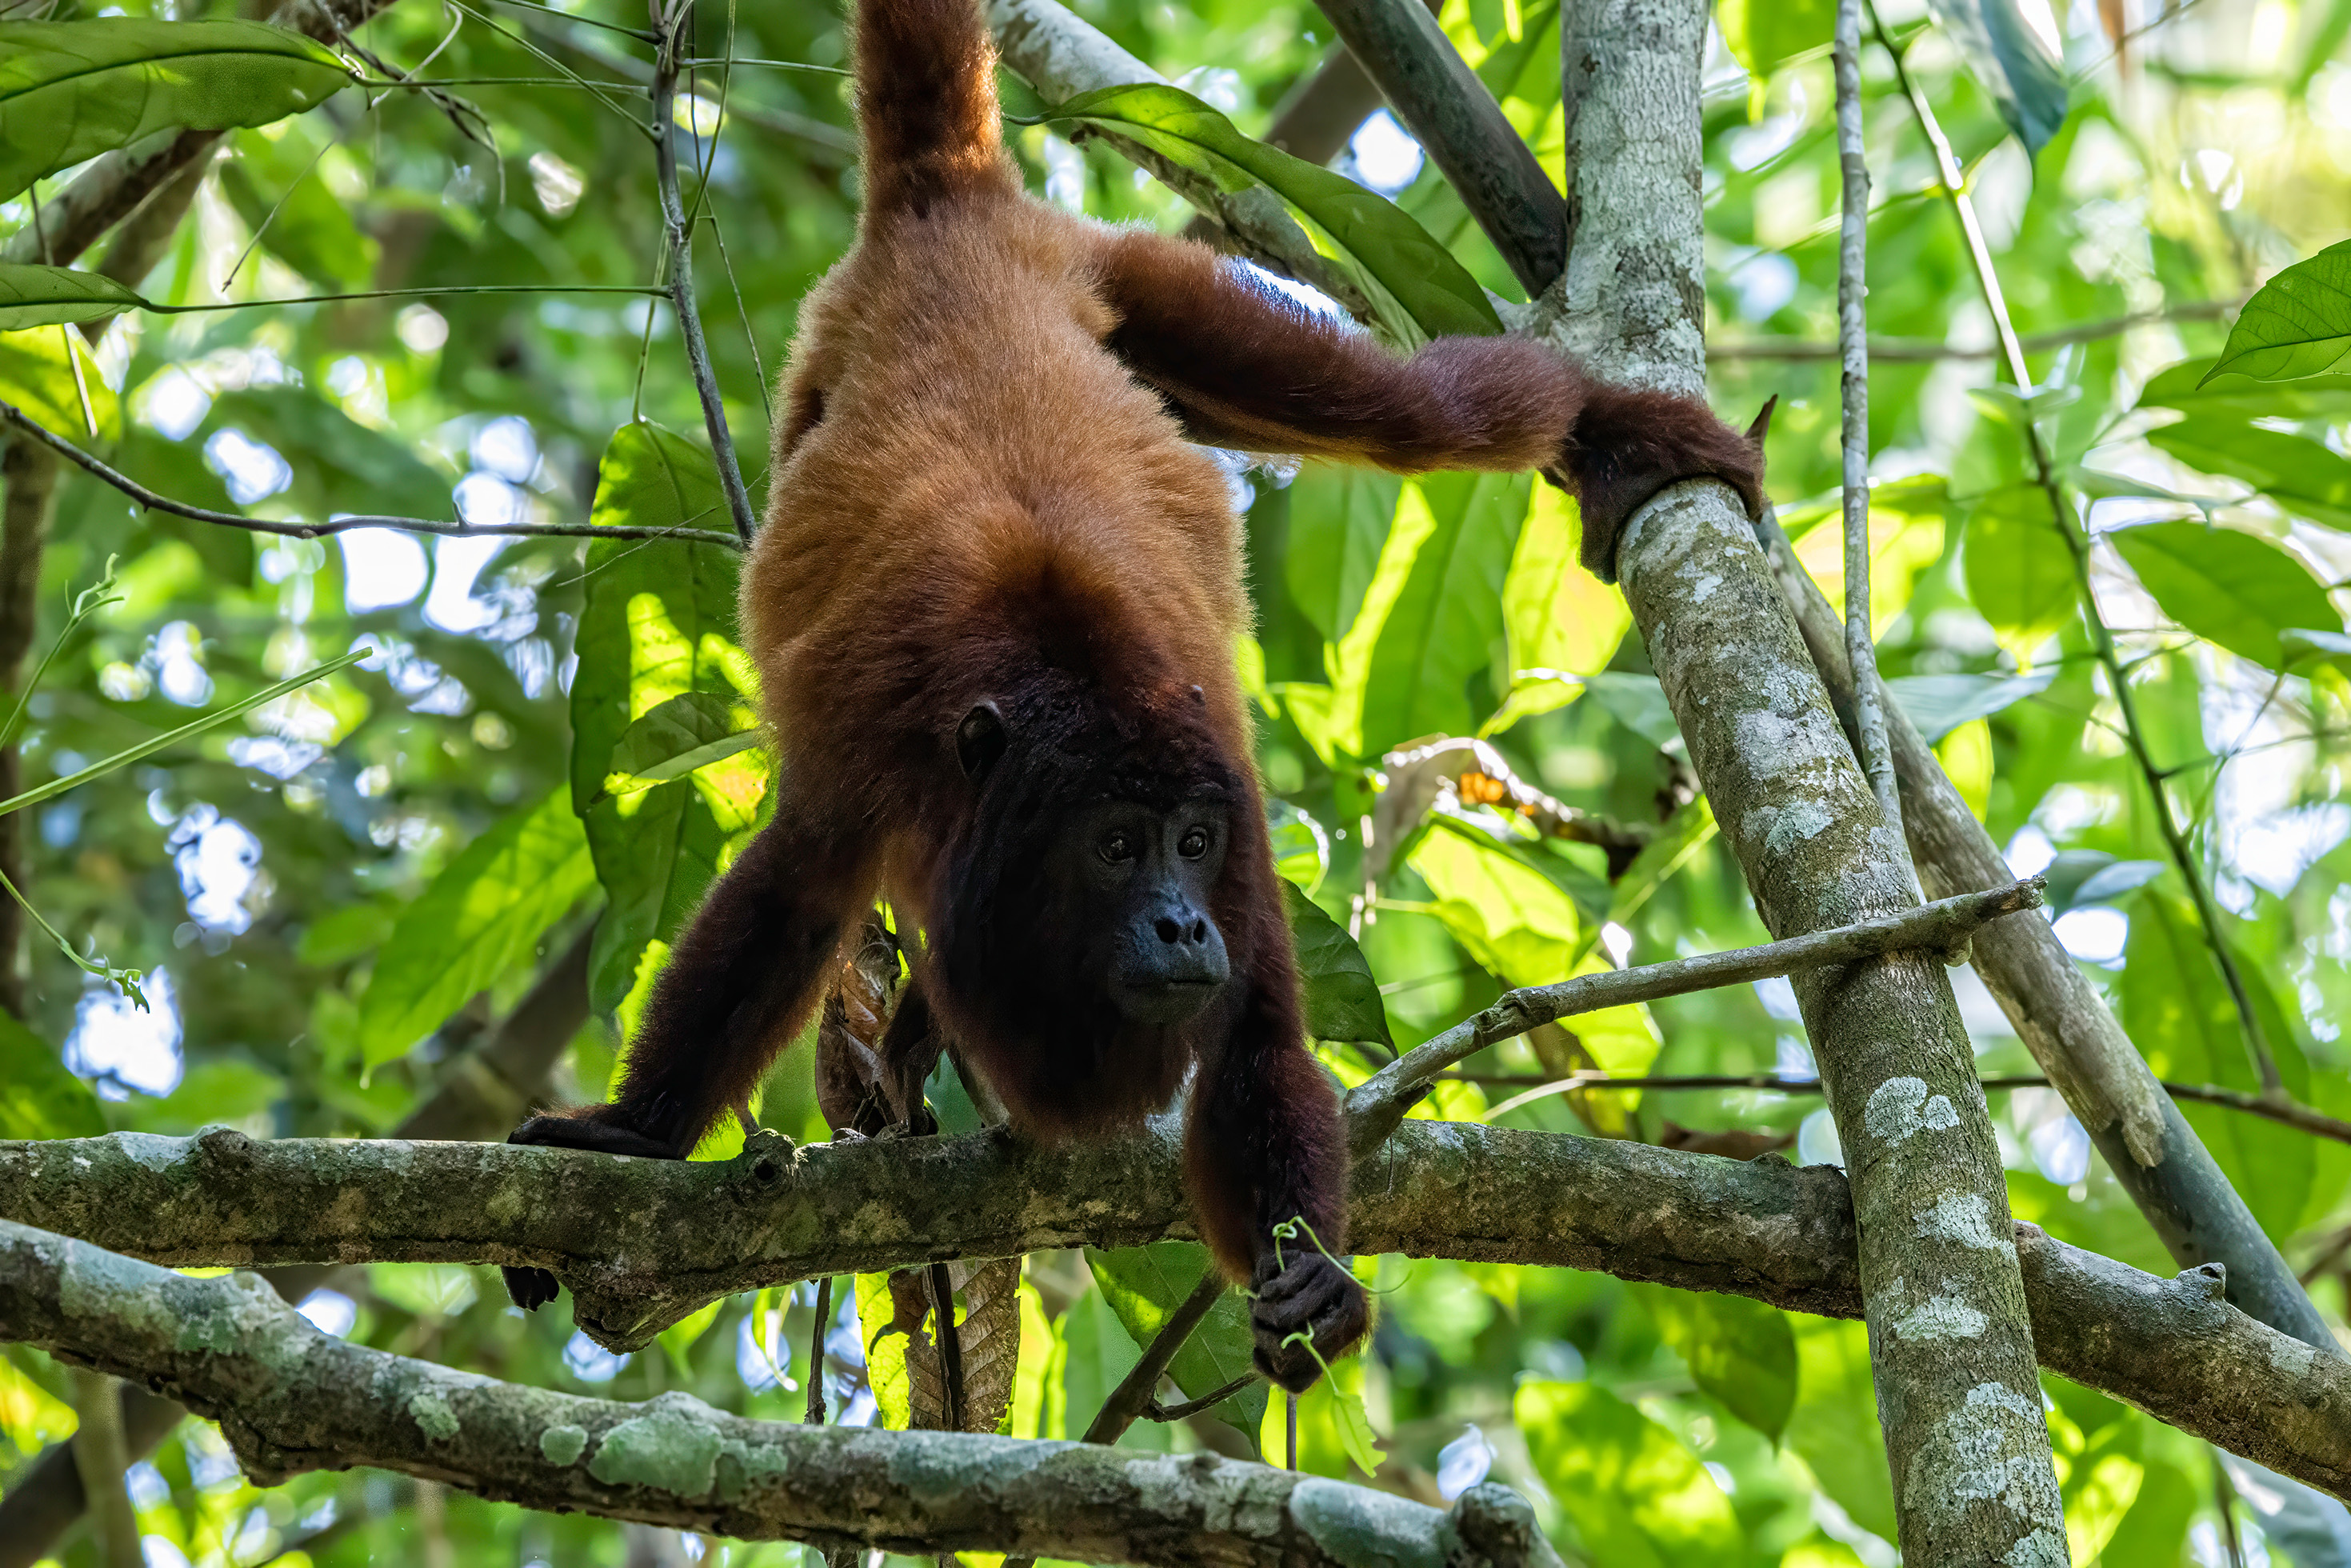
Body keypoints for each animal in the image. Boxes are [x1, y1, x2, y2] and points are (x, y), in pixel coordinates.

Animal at [499, 0, 1766, 1393]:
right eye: (1114, 847)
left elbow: (1257, 1037)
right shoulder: (871, 749)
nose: (1180, 926)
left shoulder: (1239, 812)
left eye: (1191, 844)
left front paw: (1310, 1277)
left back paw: (1607, 427)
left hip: (1131, 275)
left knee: (1413, 414)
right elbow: (786, 904)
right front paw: (630, 1135)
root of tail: (951, 210)